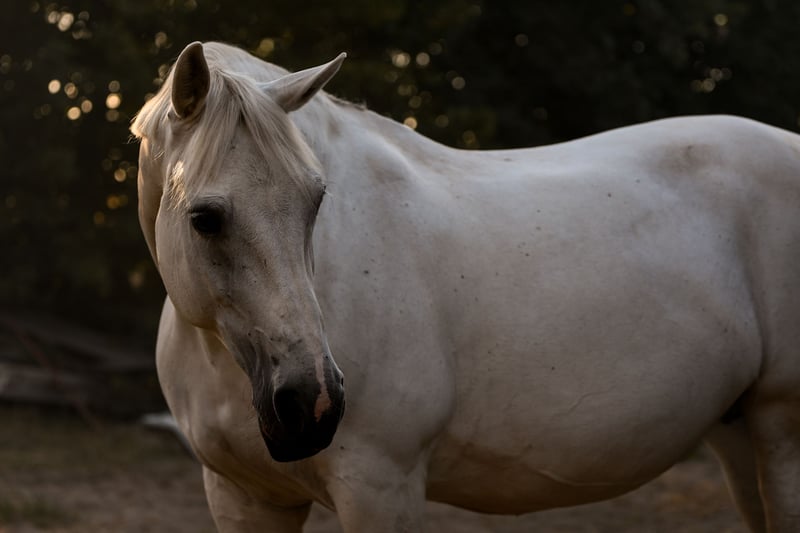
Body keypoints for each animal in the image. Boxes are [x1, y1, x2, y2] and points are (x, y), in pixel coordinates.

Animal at [131, 41, 800, 532]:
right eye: (205, 218)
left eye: (316, 199)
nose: (311, 403)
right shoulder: (244, 496)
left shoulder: (381, 487)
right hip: (738, 433)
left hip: (779, 431)